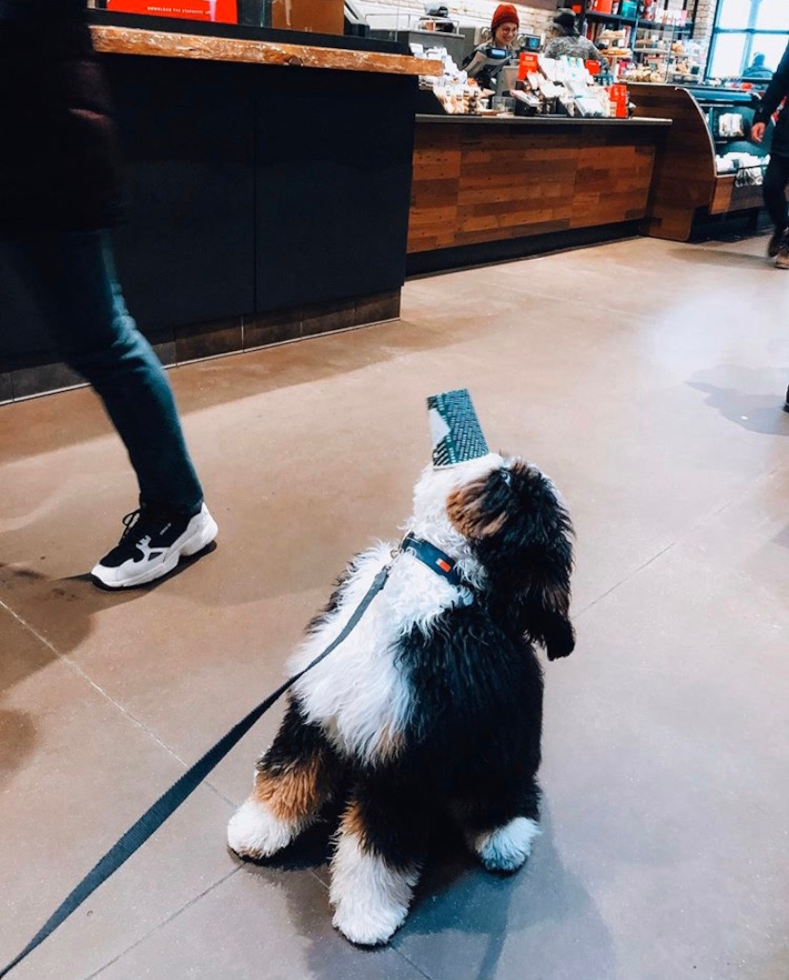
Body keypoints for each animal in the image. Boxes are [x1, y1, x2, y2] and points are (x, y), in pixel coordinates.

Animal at [226, 442, 572, 940]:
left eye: (508, 485)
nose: (501, 459)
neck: (430, 580)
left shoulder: (405, 765)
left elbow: (375, 850)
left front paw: (365, 917)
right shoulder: (315, 710)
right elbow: (287, 773)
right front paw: (256, 830)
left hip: (503, 760)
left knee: (511, 801)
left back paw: (505, 841)